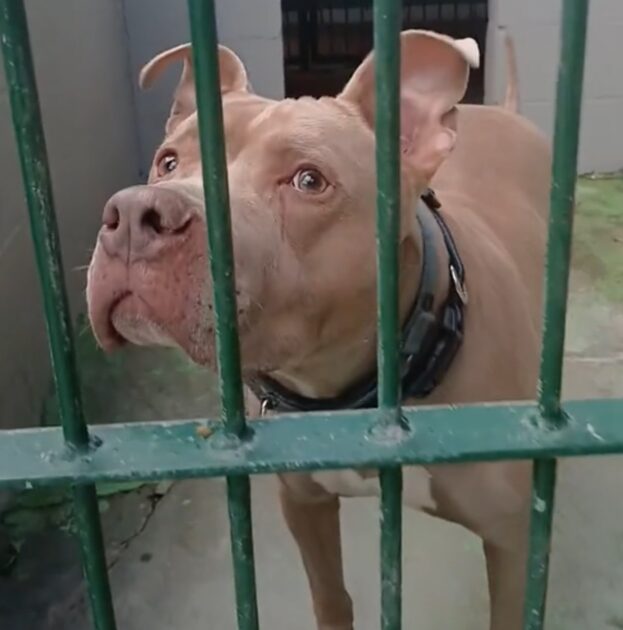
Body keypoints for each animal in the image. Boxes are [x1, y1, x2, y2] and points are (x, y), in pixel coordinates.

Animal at [87, 31, 549, 630]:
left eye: (309, 180)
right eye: (167, 161)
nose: (133, 217)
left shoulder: (513, 544)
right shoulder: (303, 503)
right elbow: (331, 595)